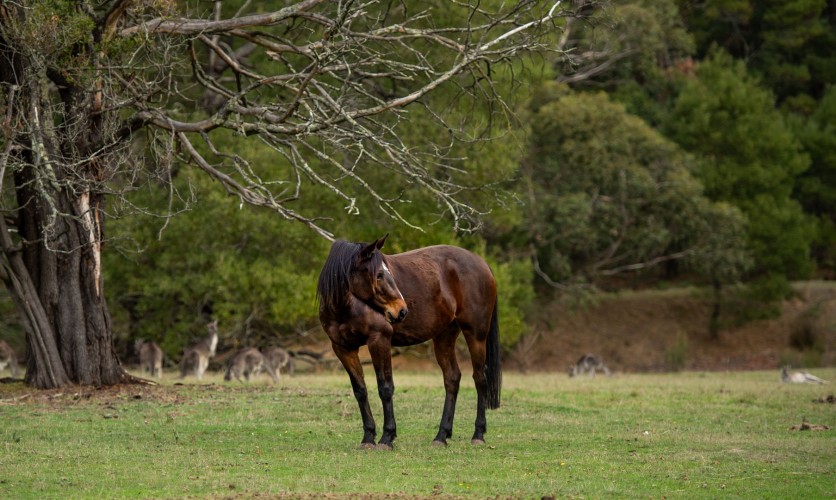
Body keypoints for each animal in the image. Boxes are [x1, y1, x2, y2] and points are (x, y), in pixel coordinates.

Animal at [316, 234, 500, 450]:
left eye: (385, 272)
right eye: (379, 274)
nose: (401, 310)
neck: (346, 307)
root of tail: (483, 264)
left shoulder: (379, 340)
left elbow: (385, 388)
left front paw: (387, 437)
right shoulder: (343, 348)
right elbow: (360, 390)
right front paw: (368, 438)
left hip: (476, 335)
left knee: (480, 379)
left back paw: (478, 434)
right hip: (444, 336)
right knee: (452, 379)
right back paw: (441, 436)